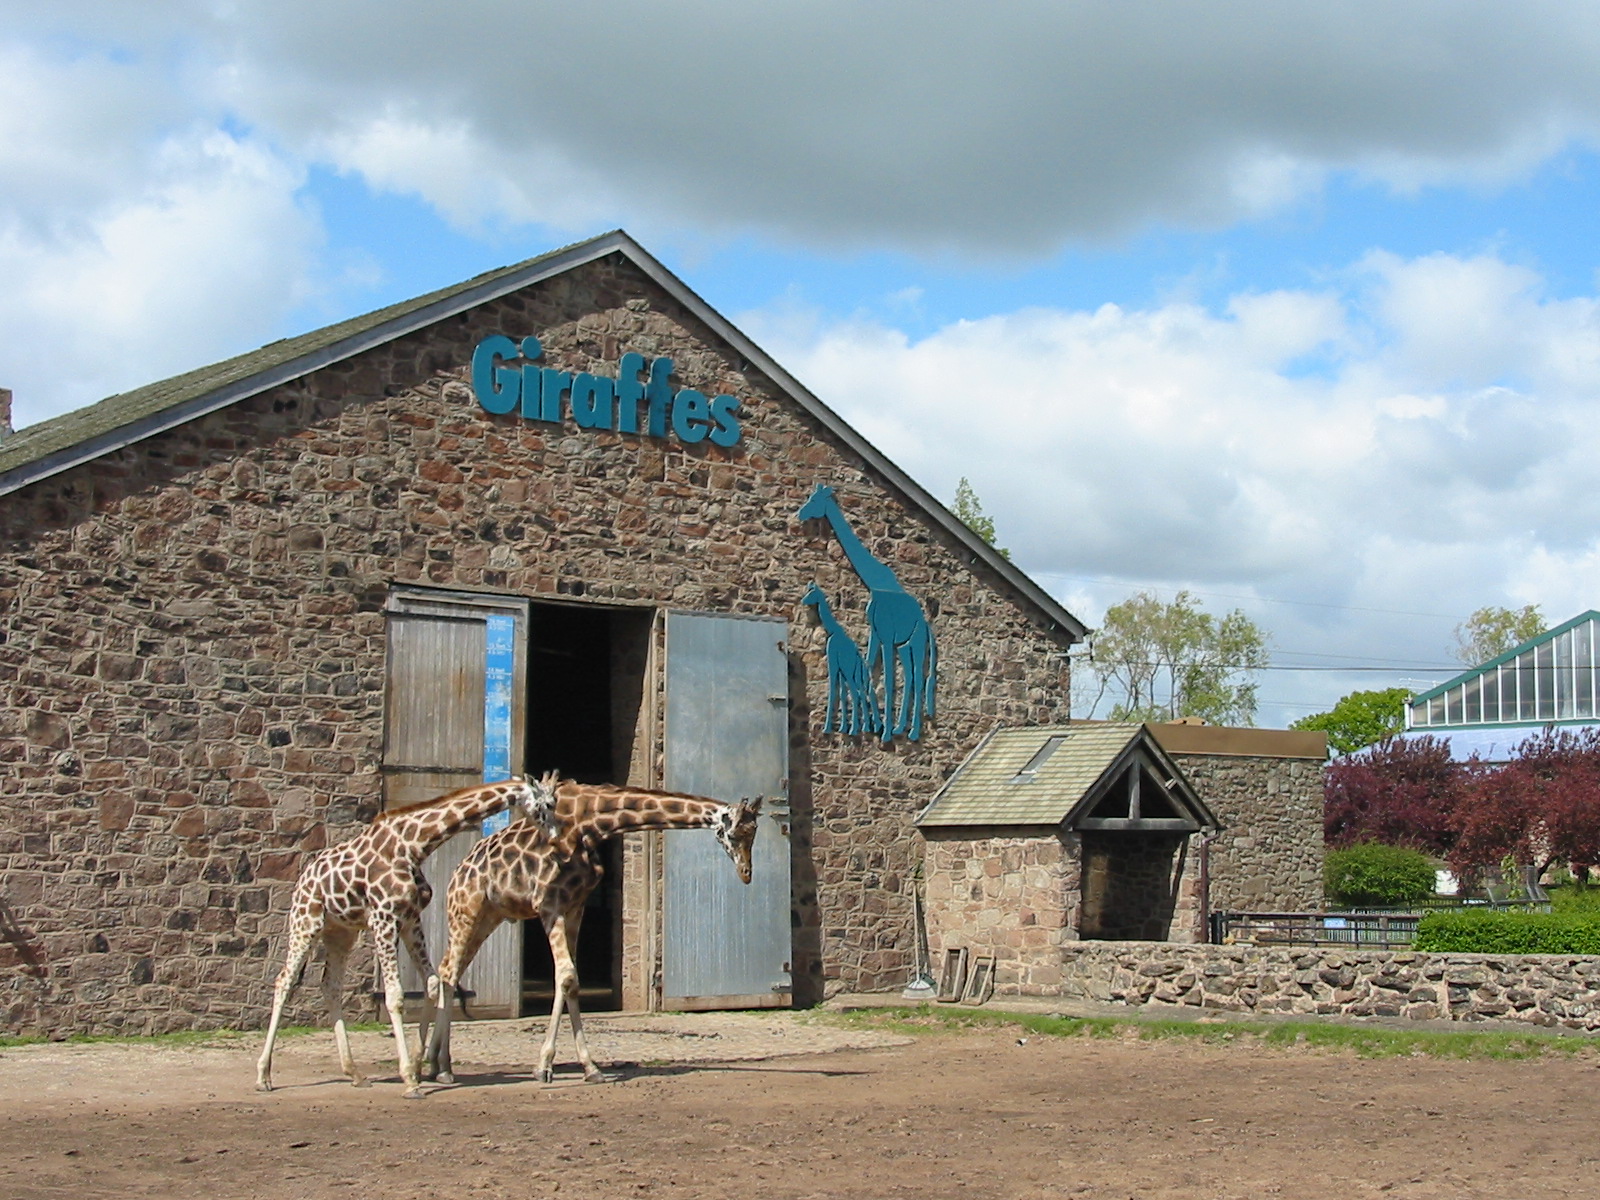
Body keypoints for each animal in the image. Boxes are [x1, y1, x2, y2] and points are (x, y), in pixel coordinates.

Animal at [255, 775, 560, 1099]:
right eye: (547, 804)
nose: (556, 836)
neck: (414, 845)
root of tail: (303, 878)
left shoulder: (410, 919)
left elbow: (432, 984)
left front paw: (416, 1067)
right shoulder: (383, 918)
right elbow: (395, 996)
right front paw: (410, 1081)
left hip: (342, 932)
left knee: (331, 986)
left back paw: (355, 1073)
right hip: (306, 922)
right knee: (284, 980)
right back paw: (263, 1075)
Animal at [421, 779, 763, 1086]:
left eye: (754, 834)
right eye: (733, 834)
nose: (746, 874)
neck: (592, 823)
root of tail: (457, 874)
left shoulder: (575, 906)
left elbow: (570, 981)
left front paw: (589, 1068)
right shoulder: (550, 905)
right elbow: (567, 976)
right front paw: (545, 1066)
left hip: (488, 918)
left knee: (447, 972)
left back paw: (436, 1064)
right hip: (466, 912)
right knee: (447, 973)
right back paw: (439, 1066)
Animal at [802, 581, 880, 736]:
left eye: (811, 592)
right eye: (808, 591)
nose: (803, 600)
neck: (834, 630)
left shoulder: (833, 661)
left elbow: (833, 690)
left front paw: (827, 727)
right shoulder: (841, 671)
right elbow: (843, 694)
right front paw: (843, 726)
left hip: (851, 672)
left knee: (858, 694)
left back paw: (859, 727)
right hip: (855, 675)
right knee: (865, 694)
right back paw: (867, 726)